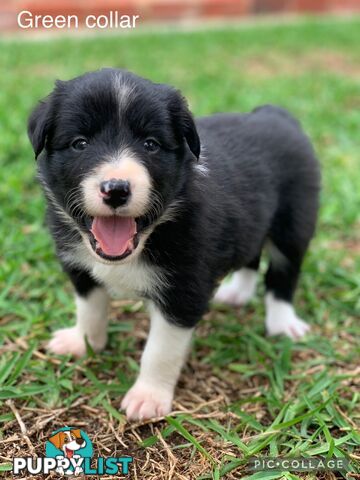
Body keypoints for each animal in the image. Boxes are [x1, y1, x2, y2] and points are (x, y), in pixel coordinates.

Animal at [28, 67, 320, 420]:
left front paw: (148, 398)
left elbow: (160, 349)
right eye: (80, 143)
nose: (116, 189)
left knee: (283, 272)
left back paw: (282, 324)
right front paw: (83, 342)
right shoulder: (79, 265)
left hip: (294, 221)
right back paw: (237, 293)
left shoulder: (184, 288)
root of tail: (275, 114)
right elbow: (90, 307)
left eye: (151, 144)